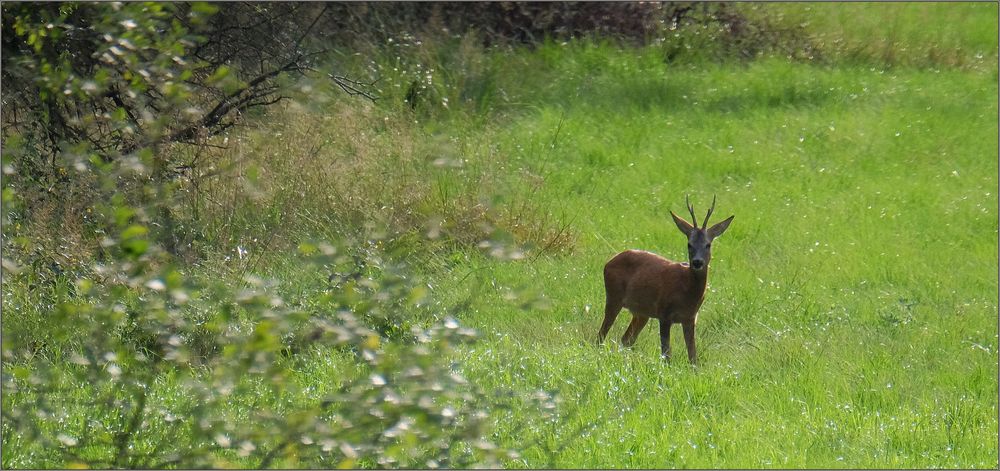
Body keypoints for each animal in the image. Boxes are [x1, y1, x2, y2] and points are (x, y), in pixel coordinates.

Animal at [596, 195, 732, 366]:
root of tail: (609, 261)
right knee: (601, 335)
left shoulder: (690, 318)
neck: (687, 290)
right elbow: (667, 355)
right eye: (689, 244)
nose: (697, 262)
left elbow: (693, 357)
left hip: (641, 313)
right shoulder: (664, 313)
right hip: (613, 297)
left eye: (708, 244)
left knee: (626, 339)